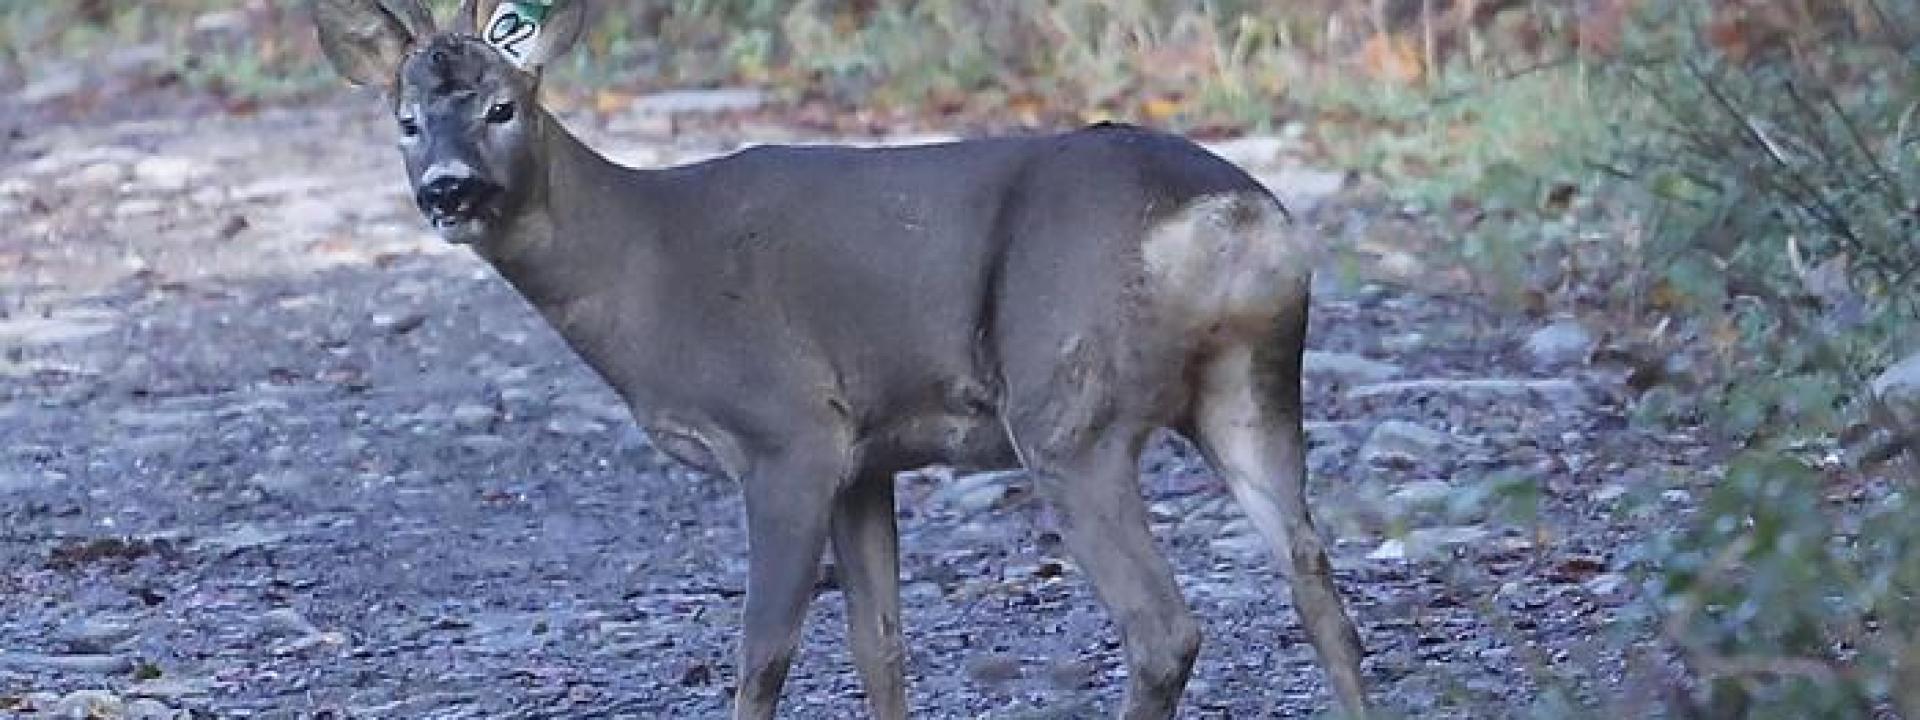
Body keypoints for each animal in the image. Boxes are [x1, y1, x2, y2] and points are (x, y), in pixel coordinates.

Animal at [311, 2, 1367, 718]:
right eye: (406, 121)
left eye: (502, 107)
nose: (448, 190)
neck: (640, 266)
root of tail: (1236, 220)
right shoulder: (869, 454)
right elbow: (880, 646)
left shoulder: (788, 432)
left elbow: (764, 653)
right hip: (1250, 386)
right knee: (1319, 587)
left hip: (1068, 403)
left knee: (1162, 628)